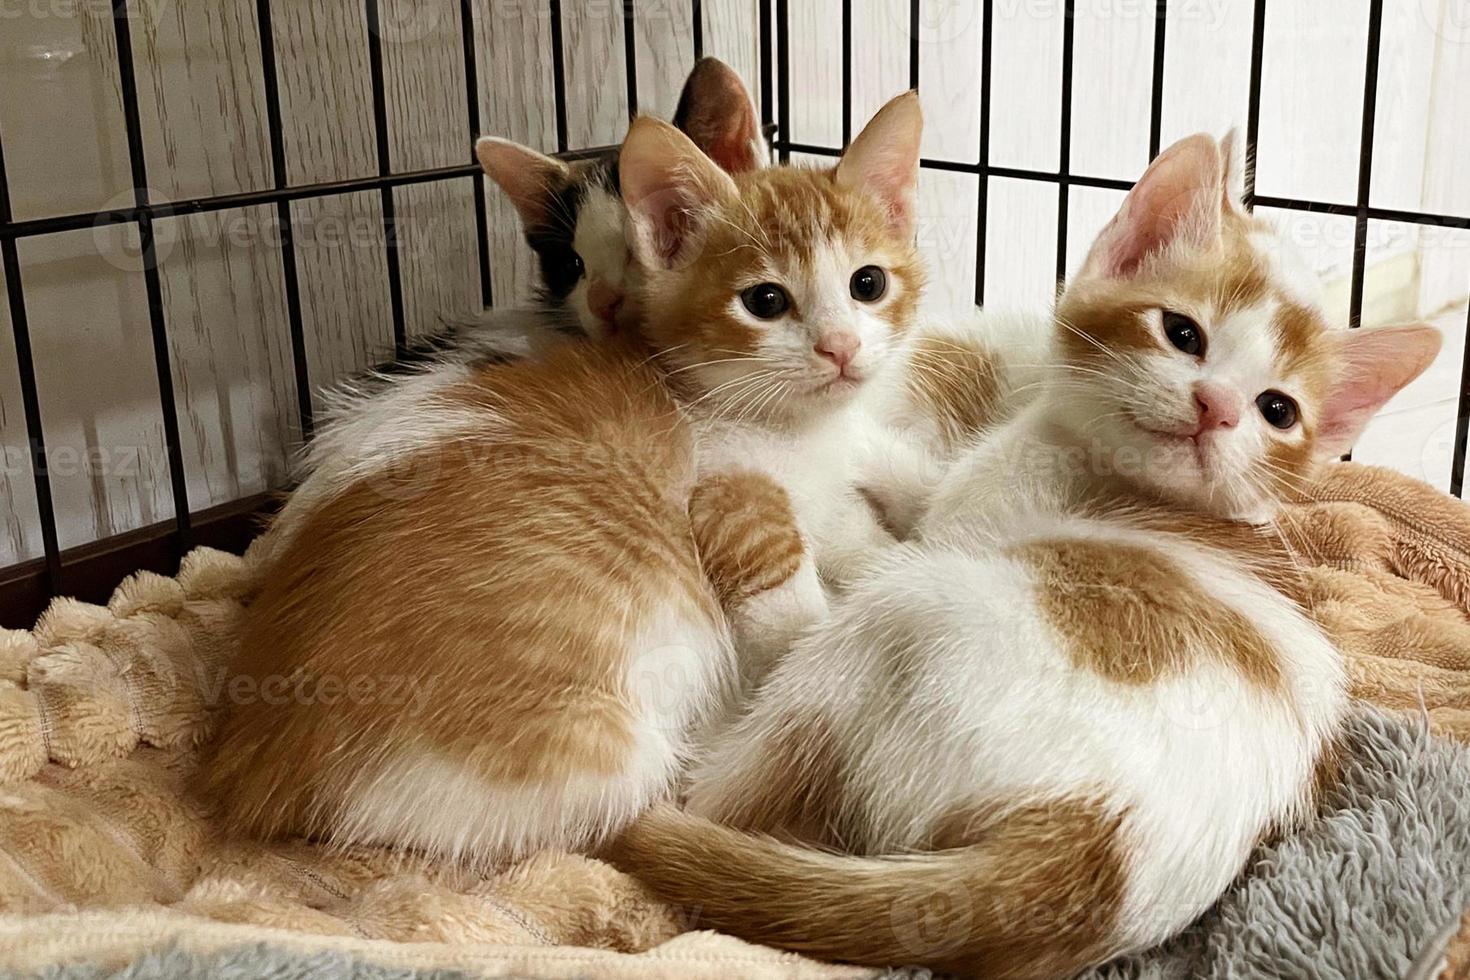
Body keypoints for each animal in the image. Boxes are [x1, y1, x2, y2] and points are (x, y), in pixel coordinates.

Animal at [202, 95, 923, 869]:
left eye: (868, 284)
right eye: (765, 300)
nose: (840, 348)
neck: (792, 424)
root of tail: (255, 772)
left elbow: (875, 500)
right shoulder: (731, 491)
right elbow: (789, 612)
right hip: (600, 749)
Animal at [602, 132, 1440, 980]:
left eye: (1277, 410)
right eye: (1182, 333)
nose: (1219, 409)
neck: (1105, 466)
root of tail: (1098, 844)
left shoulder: (964, 518)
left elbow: (890, 507)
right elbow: (906, 473)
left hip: (906, 615)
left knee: (729, 793)